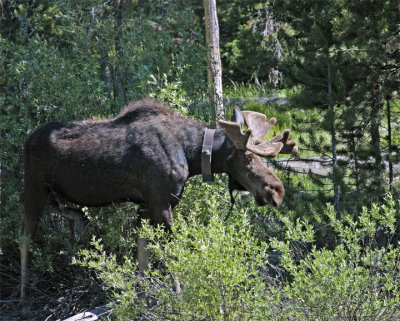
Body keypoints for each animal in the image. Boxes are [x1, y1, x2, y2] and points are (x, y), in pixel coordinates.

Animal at [20, 99, 298, 304]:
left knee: (61, 209)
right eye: (248, 158)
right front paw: (178, 294)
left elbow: (143, 254)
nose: (277, 191)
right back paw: (24, 298)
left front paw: (143, 297)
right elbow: (170, 253)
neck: (192, 153)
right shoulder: (162, 202)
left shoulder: (146, 205)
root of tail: (25, 142)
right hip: (34, 187)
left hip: (50, 192)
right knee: (24, 236)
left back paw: (79, 221)